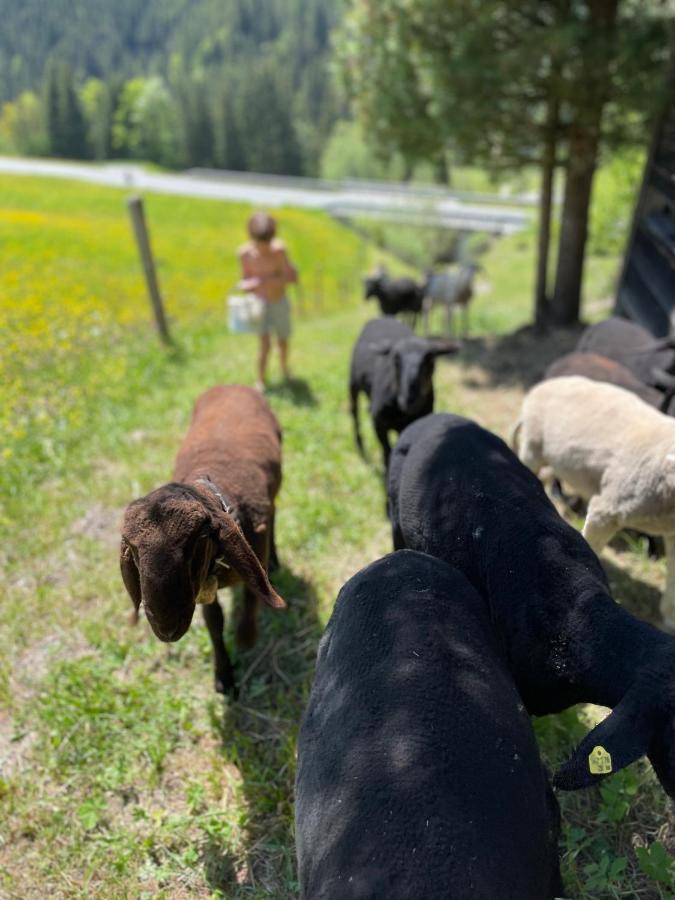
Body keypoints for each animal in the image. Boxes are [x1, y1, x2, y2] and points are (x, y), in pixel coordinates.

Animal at [121, 384, 286, 696]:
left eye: (197, 540)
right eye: (133, 551)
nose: (166, 627)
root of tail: (233, 384)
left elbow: (251, 596)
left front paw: (246, 637)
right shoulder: (202, 587)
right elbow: (214, 622)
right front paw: (224, 675)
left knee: (274, 515)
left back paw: (274, 560)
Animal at [352, 318, 456, 472]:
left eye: (430, 359)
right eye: (395, 359)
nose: (410, 399)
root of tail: (383, 318)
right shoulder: (378, 424)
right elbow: (386, 451)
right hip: (352, 382)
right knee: (354, 413)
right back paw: (360, 448)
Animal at [512, 376, 675, 628]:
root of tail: (547, 383)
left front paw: (669, 619)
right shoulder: (608, 509)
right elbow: (590, 549)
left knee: (546, 477)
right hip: (533, 446)